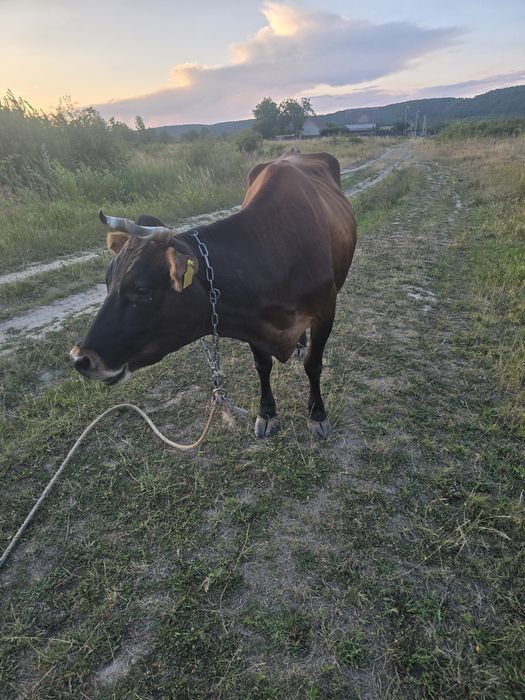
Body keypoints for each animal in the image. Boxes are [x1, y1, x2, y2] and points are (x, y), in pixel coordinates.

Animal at [70, 149, 357, 438]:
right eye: (107, 282)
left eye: (142, 289)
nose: (80, 358)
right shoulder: (253, 320)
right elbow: (262, 366)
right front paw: (267, 413)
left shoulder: (326, 311)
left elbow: (313, 364)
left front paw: (317, 414)